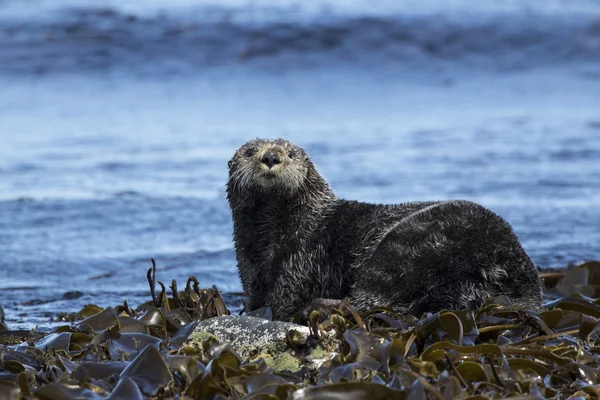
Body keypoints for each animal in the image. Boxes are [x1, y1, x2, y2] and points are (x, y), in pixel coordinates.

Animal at [225, 139, 544, 320]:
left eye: (290, 153)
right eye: (250, 152)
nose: (272, 157)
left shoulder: (303, 255)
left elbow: (285, 297)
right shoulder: (248, 264)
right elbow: (254, 292)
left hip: (407, 248)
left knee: (366, 300)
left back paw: (318, 307)